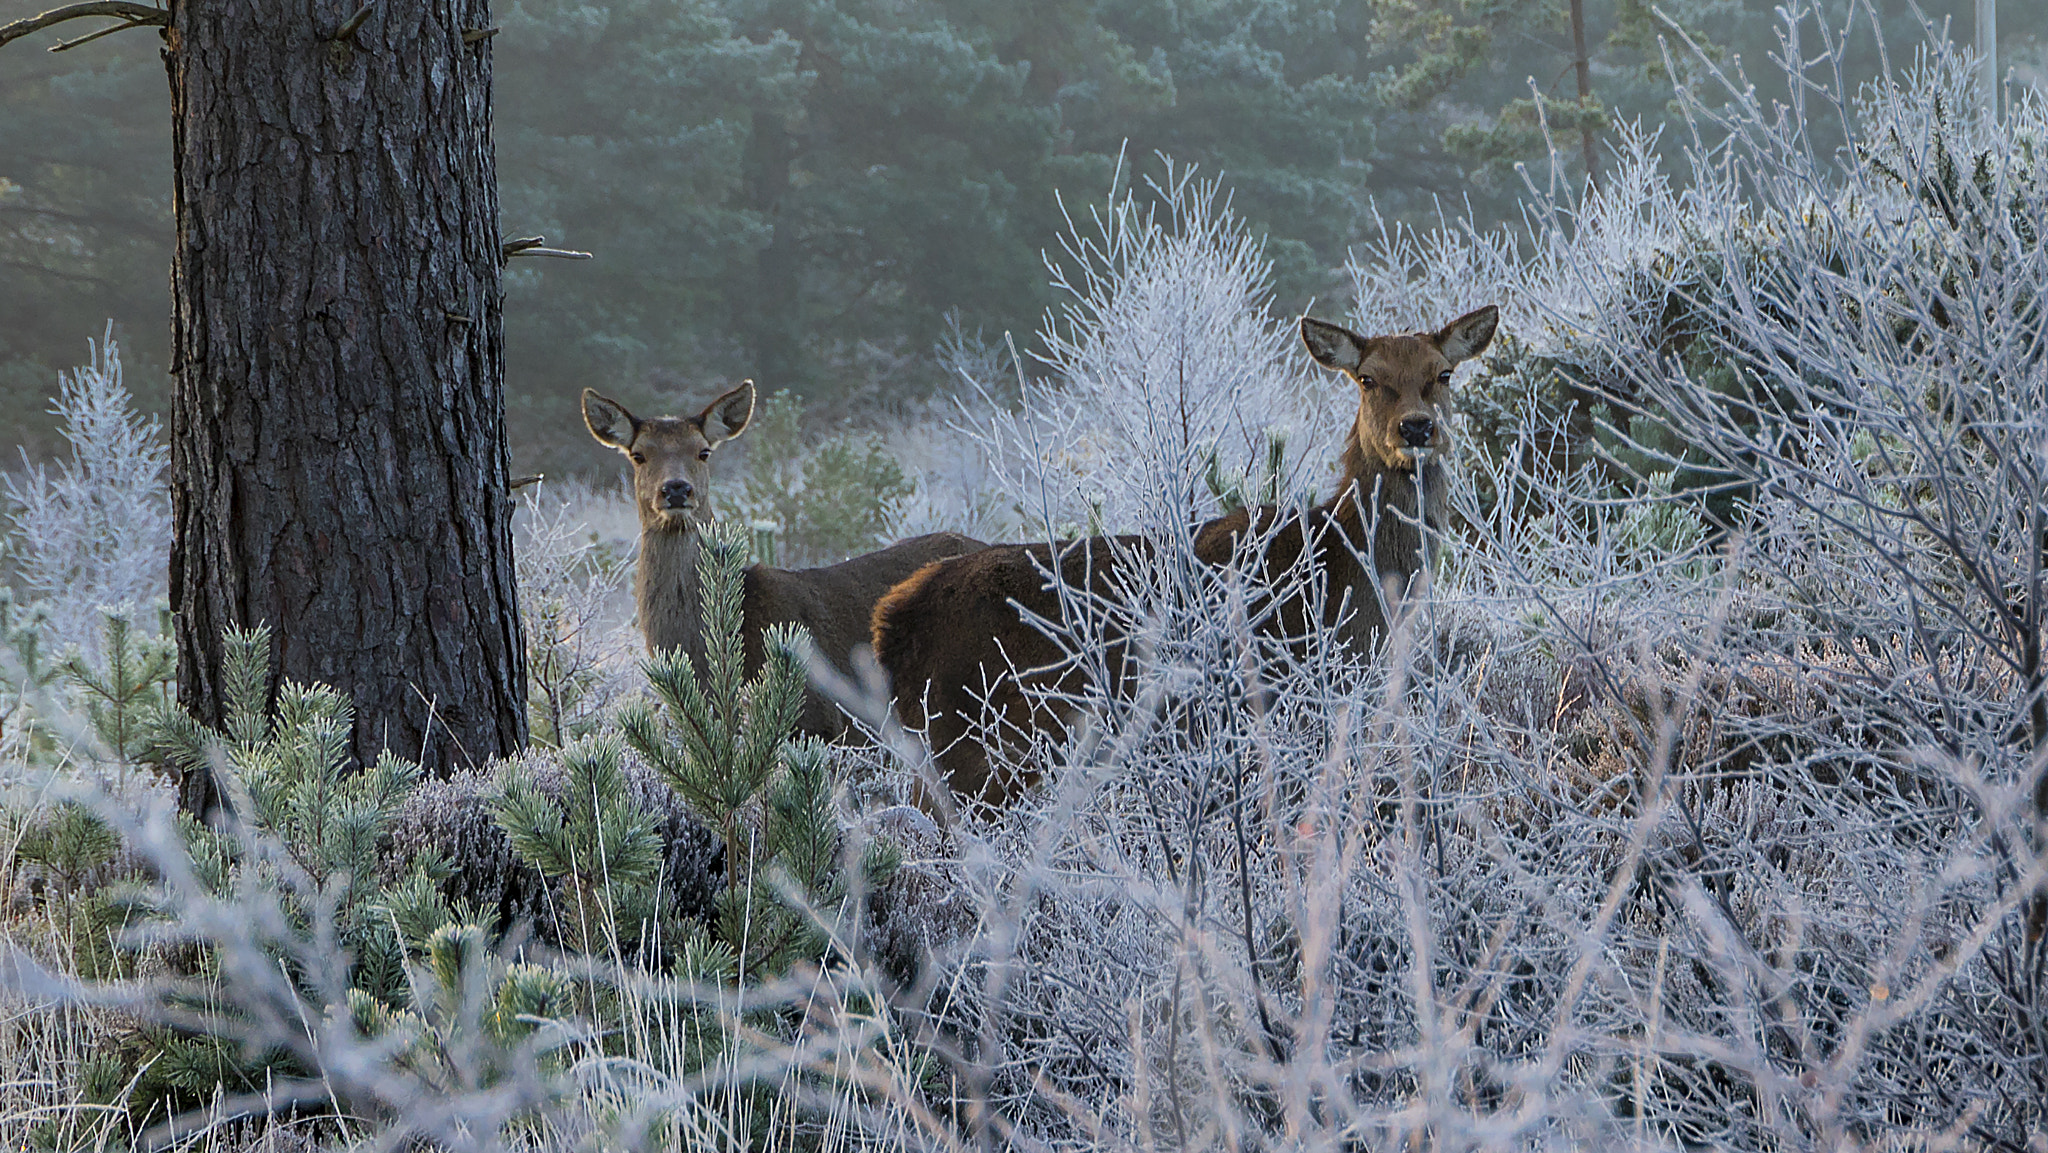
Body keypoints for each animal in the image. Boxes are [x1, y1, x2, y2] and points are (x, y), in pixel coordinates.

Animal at [870, 306, 1498, 805]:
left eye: (1443, 374)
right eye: (1368, 378)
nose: (1416, 428)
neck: (1347, 587)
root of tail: (892, 624)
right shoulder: (1276, 701)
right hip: (974, 750)